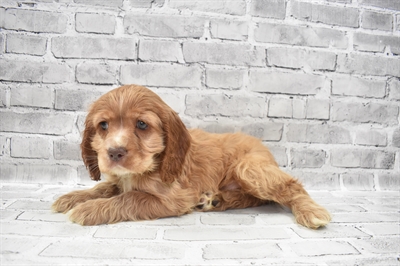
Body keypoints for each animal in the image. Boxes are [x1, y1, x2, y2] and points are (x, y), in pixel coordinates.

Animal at [51, 84, 330, 229]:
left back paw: (311, 212)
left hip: (249, 167)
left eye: (141, 124)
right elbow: (105, 188)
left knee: (289, 187)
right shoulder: (120, 179)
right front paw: (71, 198)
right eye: (103, 125)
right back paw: (215, 200)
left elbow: (130, 198)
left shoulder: (174, 198)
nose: (114, 152)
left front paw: (88, 209)